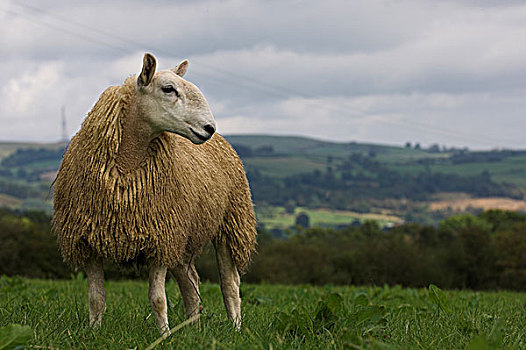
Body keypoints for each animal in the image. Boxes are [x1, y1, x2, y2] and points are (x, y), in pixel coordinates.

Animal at [52, 52, 258, 334]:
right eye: (168, 89)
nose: (209, 128)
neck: (126, 165)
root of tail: (223, 140)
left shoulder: (160, 238)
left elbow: (158, 299)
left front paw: (164, 335)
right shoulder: (89, 240)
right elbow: (96, 298)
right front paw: (93, 332)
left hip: (231, 222)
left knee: (230, 284)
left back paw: (235, 327)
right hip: (184, 234)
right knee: (190, 283)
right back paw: (192, 328)